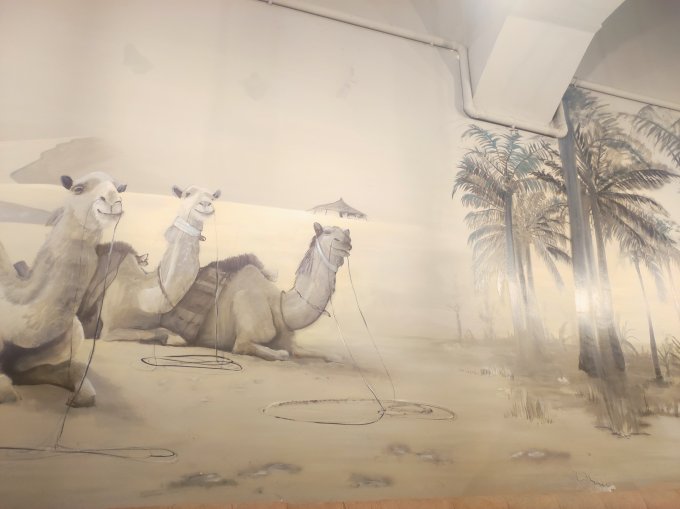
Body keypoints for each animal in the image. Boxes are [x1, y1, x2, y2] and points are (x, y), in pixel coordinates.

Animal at [0, 172, 127, 405]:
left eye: (121, 188)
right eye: (78, 189)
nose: (113, 201)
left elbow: (76, 370)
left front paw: (78, 398)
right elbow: (6, 389)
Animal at [78, 185, 221, 345]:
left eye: (213, 197)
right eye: (187, 194)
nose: (206, 204)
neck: (142, 297)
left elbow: (172, 335)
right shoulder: (108, 331)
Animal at [165, 222, 351, 361]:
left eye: (344, 232)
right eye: (327, 231)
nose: (348, 239)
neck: (280, 306)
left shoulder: (291, 343)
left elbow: (331, 355)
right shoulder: (244, 338)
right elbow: (281, 354)